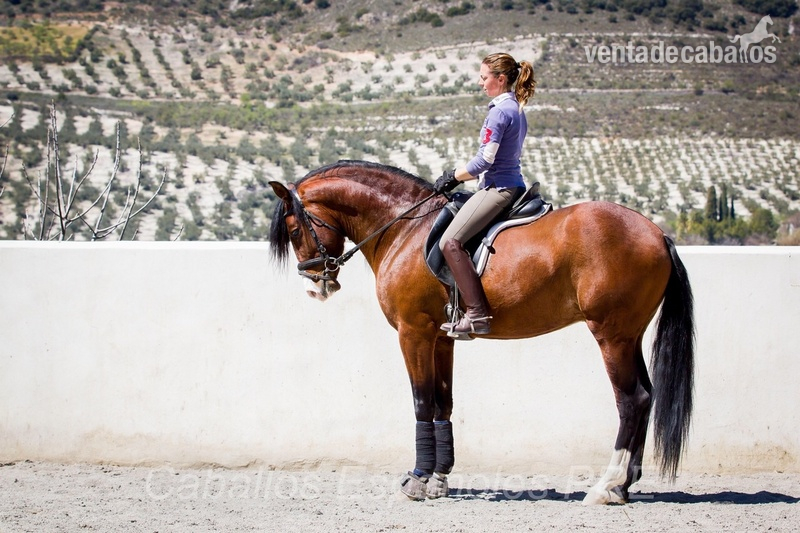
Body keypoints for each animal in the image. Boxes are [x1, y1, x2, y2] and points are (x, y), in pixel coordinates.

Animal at [268, 160, 694, 505]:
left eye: (294, 228)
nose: (316, 285)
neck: (405, 229)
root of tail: (657, 234)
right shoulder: (441, 338)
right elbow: (443, 404)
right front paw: (438, 480)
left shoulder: (413, 332)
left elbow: (421, 402)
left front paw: (417, 480)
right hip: (629, 335)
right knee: (647, 396)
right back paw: (625, 485)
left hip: (611, 335)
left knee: (632, 400)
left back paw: (607, 486)